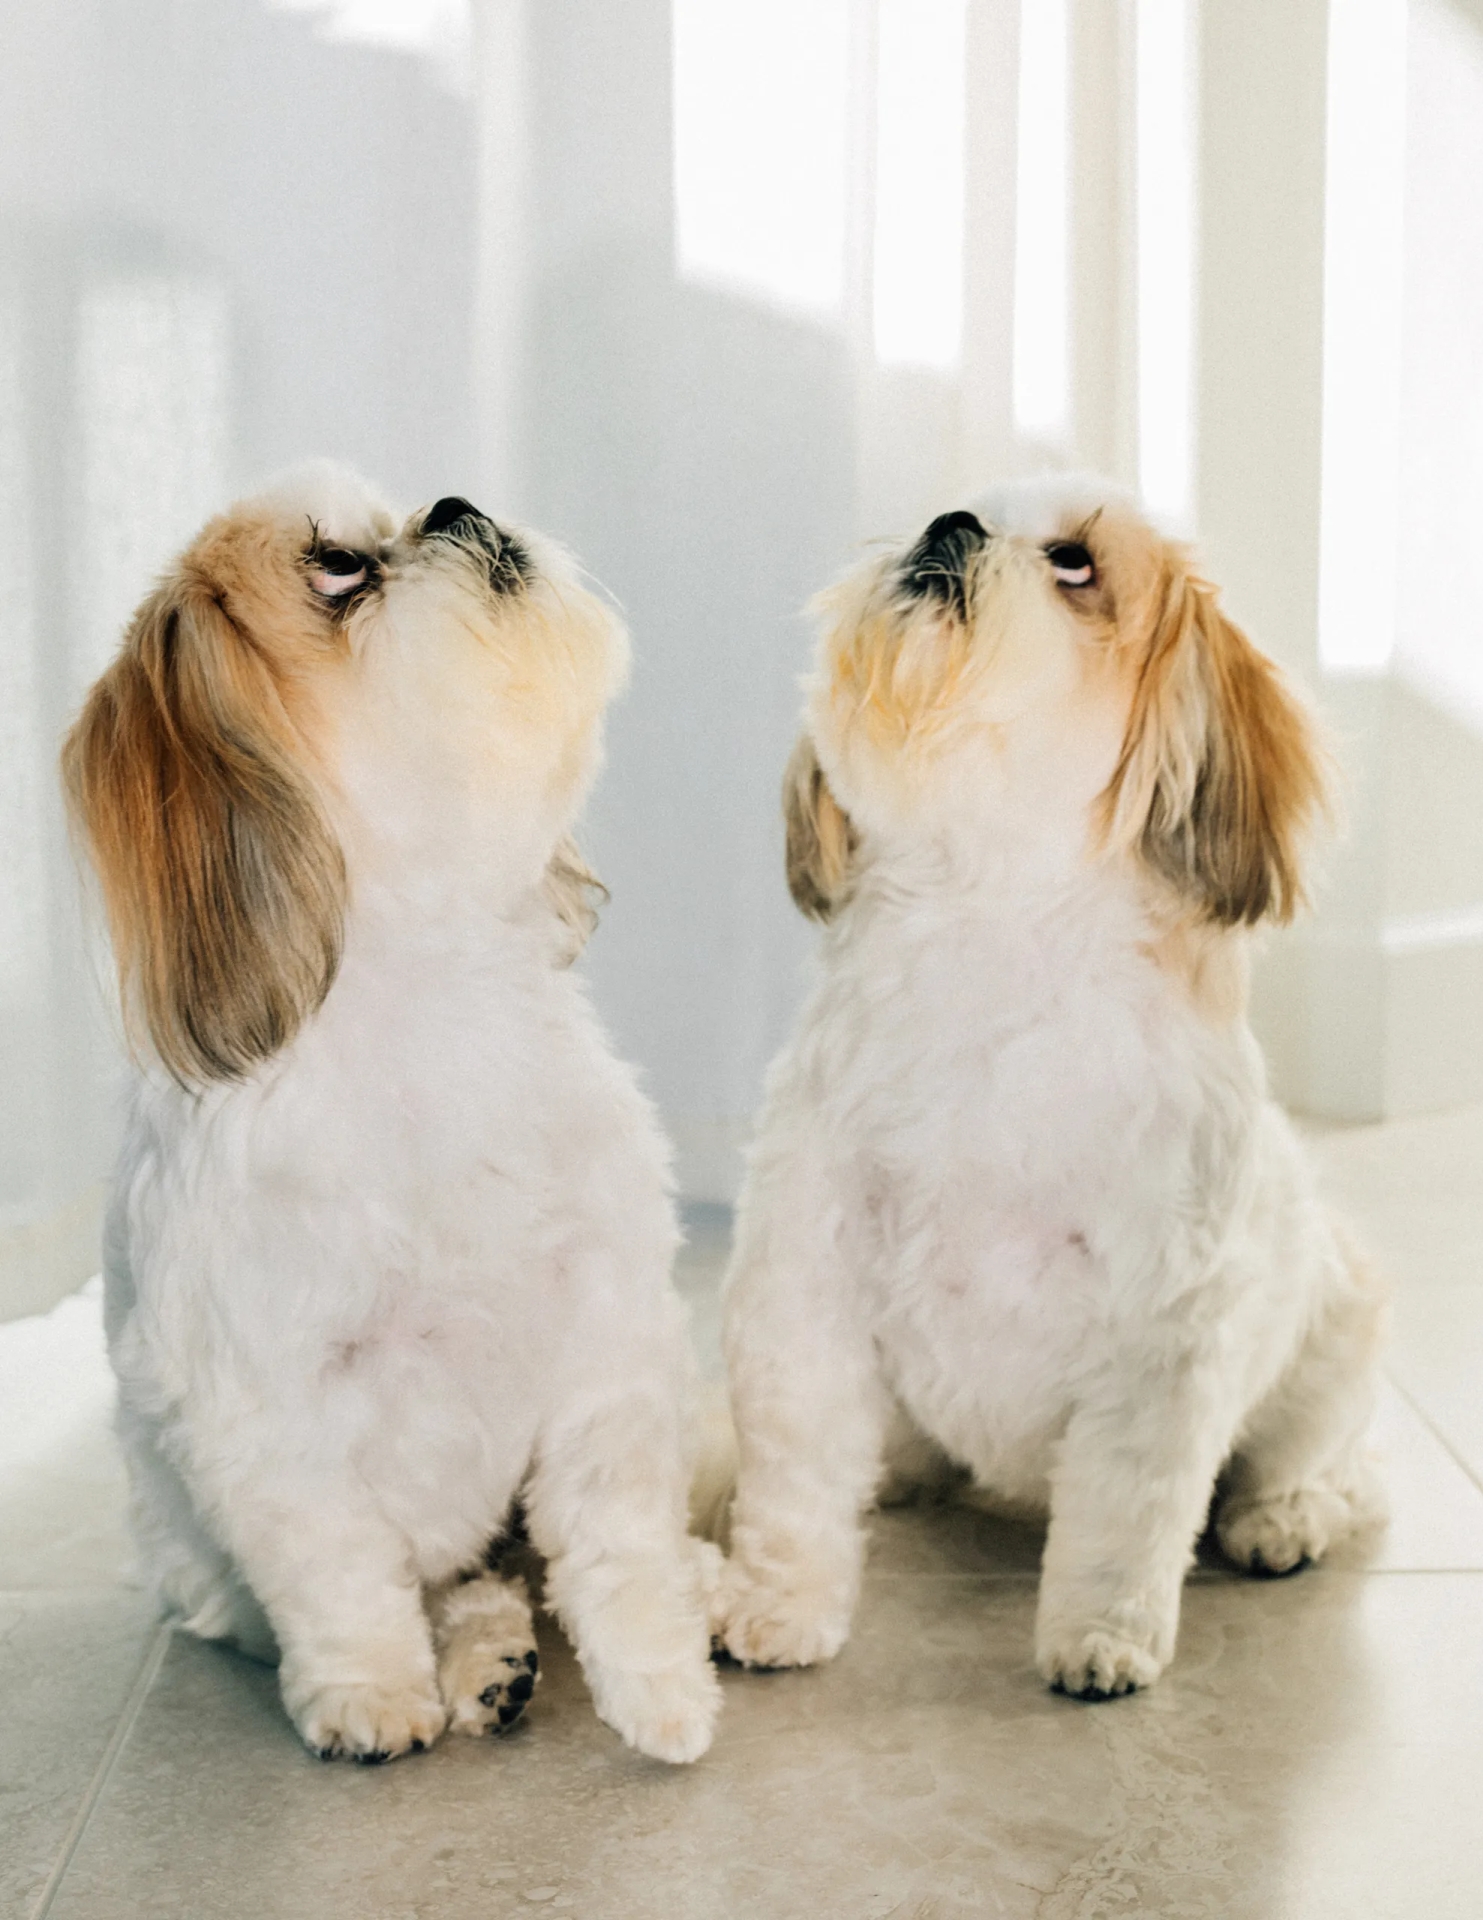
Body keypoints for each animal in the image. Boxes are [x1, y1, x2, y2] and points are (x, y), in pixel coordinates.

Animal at [63, 464, 720, 1763]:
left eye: (408, 517)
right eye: (337, 568)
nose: (459, 507)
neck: (428, 991)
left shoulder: (608, 1336)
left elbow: (618, 1540)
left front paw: (661, 1677)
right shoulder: (258, 1403)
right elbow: (336, 1567)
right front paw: (369, 1691)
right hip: (204, 1569)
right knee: (459, 1584)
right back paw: (481, 1663)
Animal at [716, 476, 1385, 1700]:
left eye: (1075, 564)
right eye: (952, 509)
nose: (949, 530)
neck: (990, 932)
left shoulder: (1160, 1338)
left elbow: (1125, 1516)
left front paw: (1101, 1640)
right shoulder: (804, 1287)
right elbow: (791, 1484)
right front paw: (777, 1608)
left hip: (1333, 1343)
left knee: (1329, 1469)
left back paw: (1283, 1519)